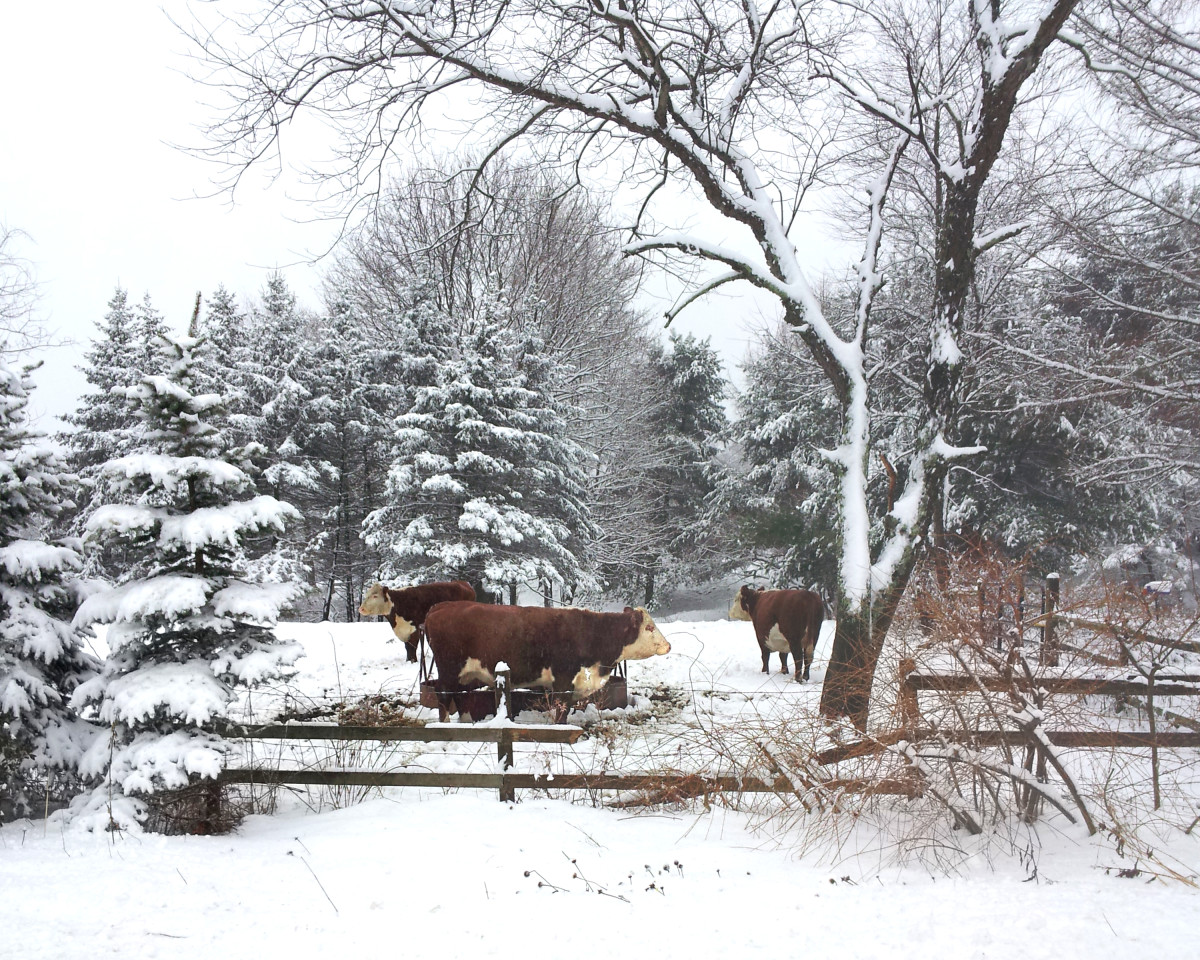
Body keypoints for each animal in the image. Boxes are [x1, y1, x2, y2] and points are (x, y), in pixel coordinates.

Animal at [422, 602, 672, 716]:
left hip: (462, 674)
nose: (668, 645)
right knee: (443, 695)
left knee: (459, 696)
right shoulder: (564, 681)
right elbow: (562, 711)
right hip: (448, 670)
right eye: (649, 627)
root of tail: (442, 606)